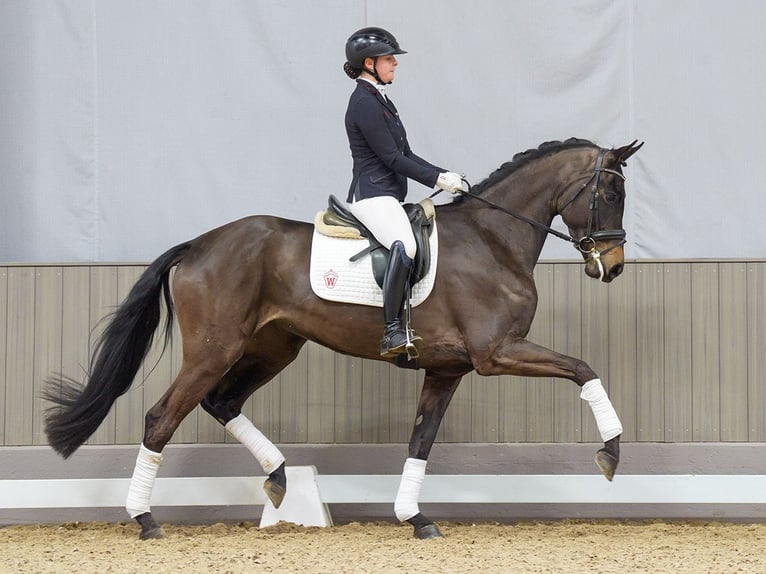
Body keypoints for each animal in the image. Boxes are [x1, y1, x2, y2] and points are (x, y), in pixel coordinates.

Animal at [40, 138, 640, 540]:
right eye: (610, 191)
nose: (612, 267)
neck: (493, 240)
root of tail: (198, 245)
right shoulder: (496, 354)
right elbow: (585, 368)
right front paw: (610, 453)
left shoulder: (448, 368)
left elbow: (420, 442)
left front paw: (415, 518)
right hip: (214, 349)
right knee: (161, 418)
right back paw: (145, 519)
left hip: (274, 347)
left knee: (222, 401)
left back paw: (280, 478)